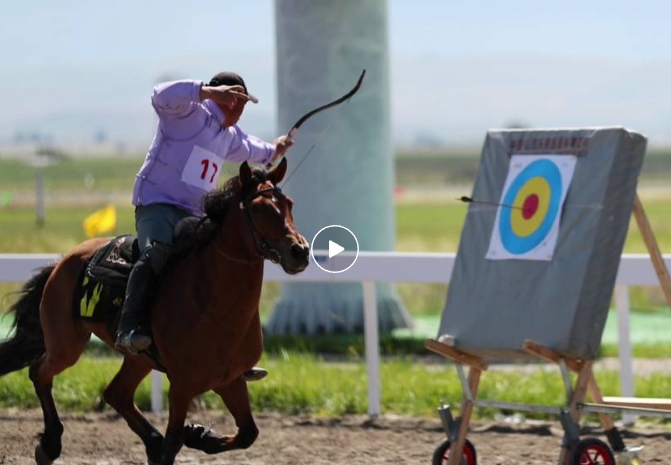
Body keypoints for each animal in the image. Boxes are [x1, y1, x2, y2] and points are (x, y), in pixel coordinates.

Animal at [0, 159, 310, 464]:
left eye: (289, 204)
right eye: (257, 208)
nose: (300, 251)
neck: (213, 304)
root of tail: (63, 260)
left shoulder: (230, 379)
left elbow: (248, 433)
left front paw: (199, 434)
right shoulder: (182, 385)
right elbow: (173, 445)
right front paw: (188, 436)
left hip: (138, 358)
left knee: (117, 394)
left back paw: (151, 440)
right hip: (67, 345)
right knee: (39, 372)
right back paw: (50, 444)